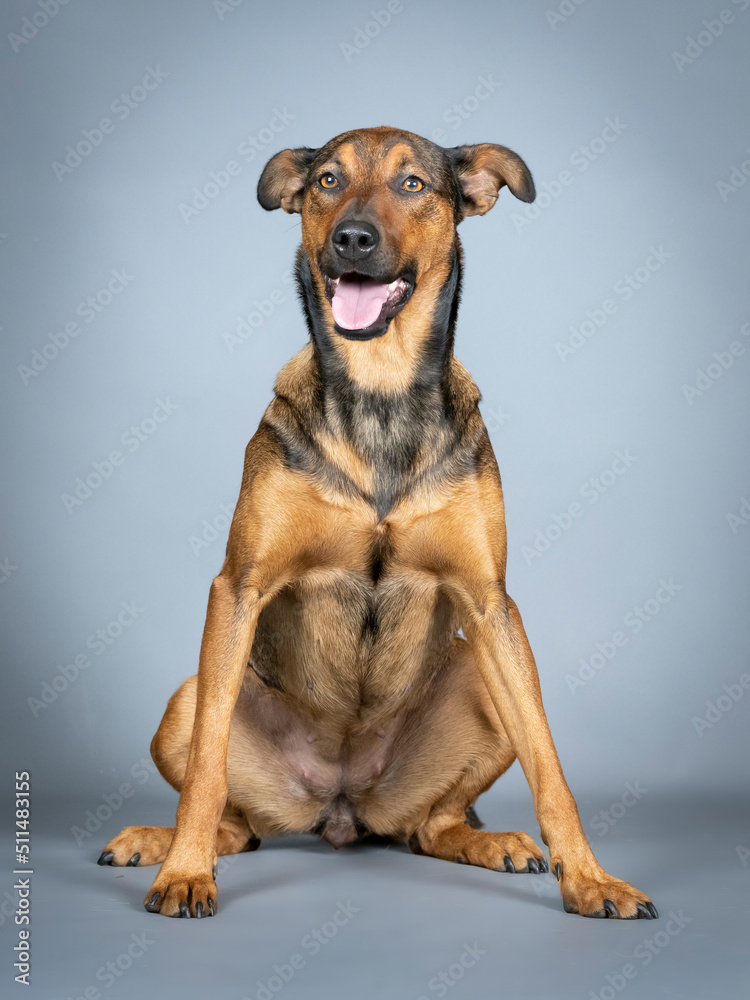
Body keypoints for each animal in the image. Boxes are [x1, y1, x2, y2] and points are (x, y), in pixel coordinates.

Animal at [98, 125, 656, 920]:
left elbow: (552, 768)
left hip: (477, 688)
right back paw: (161, 840)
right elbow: (206, 769)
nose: (353, 239)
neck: (381, 389)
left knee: (429, 826)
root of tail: (340, 807)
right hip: (188, 699)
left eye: (413, 184)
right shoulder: (238, 588)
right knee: (239, 821)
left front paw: (590, 879)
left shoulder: (492, 605)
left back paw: (492, 843)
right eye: (326, 181)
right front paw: (183, 873)